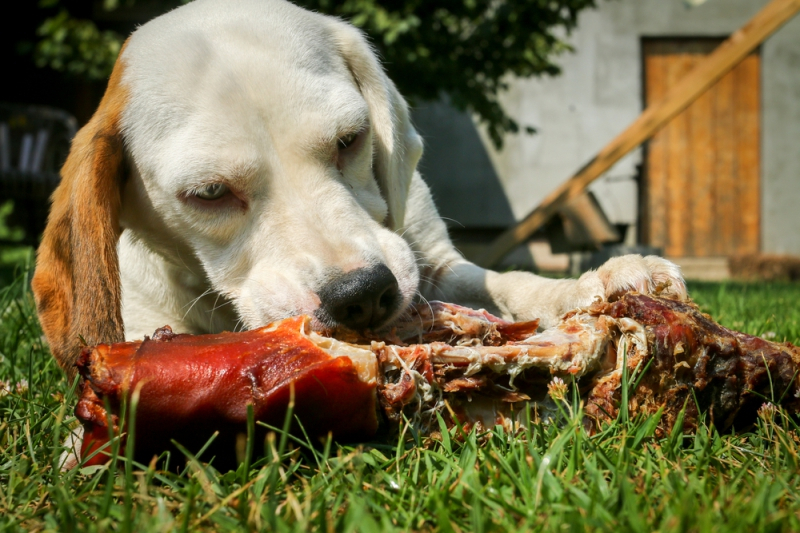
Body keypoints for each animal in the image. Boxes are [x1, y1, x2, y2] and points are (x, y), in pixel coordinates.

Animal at [29, 0, 680, 384]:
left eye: (350, 139)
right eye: (209, 193)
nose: (361, 295)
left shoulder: (437, 267)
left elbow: (512, 283)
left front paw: (602, 281)